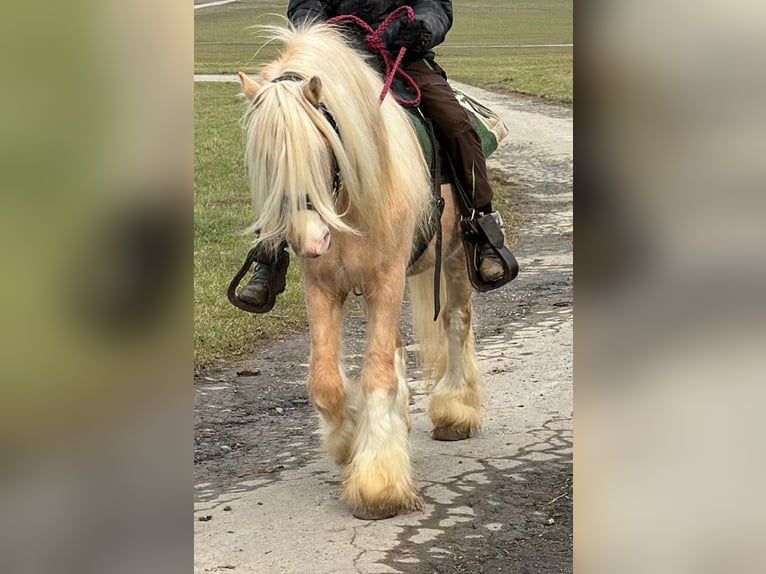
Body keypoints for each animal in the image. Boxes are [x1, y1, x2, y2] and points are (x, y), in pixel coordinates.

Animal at [237, 23, 484, 520]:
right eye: (264, 163)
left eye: (322, 145)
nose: (309, 241)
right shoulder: (323, 287)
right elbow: (327, 381)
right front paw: (349, 440)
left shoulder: (385, 281)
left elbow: (377, 375)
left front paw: (378, 484)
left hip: (451, 260)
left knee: (456, 324)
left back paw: (456, 410)